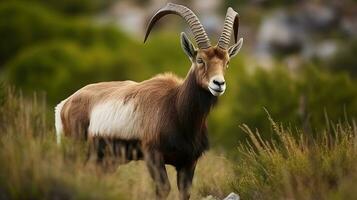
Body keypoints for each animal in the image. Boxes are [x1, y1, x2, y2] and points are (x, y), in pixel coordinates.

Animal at [53, 3, 242, 200]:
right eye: (200, 60)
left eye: (227, 62)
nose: (218, 84)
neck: (176, 108)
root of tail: (64, 105)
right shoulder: (153, 156)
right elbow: (163, 189)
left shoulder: (188, 163)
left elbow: (185, 192)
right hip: (75, 151)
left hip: (104, 160)